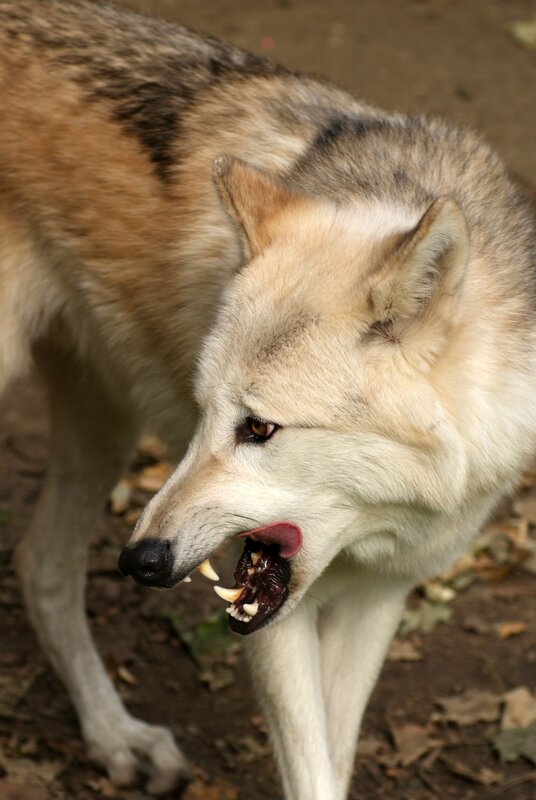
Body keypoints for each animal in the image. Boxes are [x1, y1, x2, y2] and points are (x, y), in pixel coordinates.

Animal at [1, 0, 535, 797]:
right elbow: (310, 772)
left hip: (105, 422)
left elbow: (335, 762)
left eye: (258, 428)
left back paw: (116, 739)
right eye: (204, 414)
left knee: (42, 566)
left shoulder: (380, 596)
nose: (141, 560)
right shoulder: (274, 609)